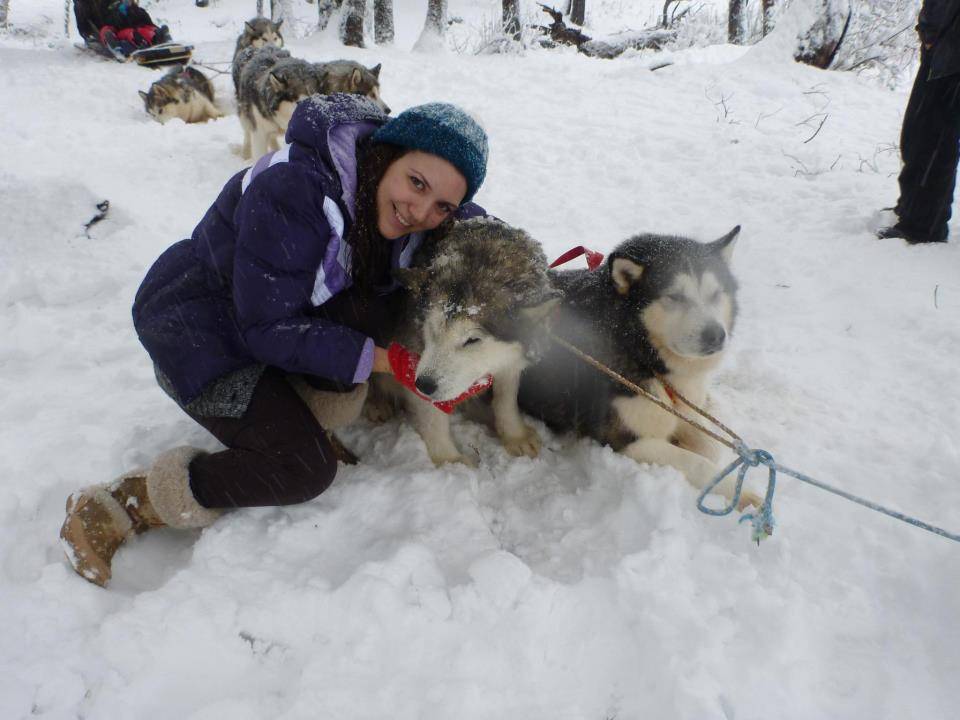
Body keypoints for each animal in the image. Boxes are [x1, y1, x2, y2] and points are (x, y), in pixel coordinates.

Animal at [375, 218, 558, 467]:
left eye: (472, 340)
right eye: (432, 328)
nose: (424, 384)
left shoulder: (512, 358)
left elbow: (506, 398)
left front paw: (514, 434)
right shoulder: (412, 353)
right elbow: (432, 417)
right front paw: (450, 462)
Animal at [517, 226, 761, 508]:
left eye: (715, 294)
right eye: (675, 296)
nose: (715, 335)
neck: (641, 354)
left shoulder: (686, 412)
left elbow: (709, 446)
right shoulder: (626, 440)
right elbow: (699, 463)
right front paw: (745, 495)